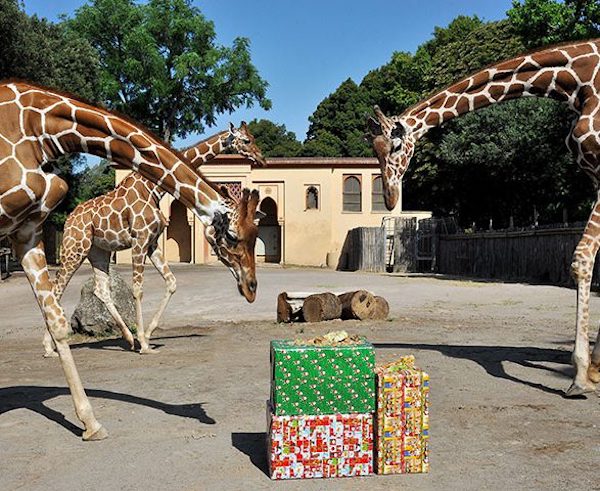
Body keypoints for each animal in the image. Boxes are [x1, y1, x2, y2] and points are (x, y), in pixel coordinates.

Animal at [43, 122, 264, 354]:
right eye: (247, 140)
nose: (260, 158)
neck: (153, 187)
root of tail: (69, 219)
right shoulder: (139, 239)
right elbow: (138, 290)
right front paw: (144, 343)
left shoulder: (151, 243)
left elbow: (172, 282)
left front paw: (146, 337)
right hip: (75, 248)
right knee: (56, 289)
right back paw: (50, 346)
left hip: (98, 251)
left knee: (101, 290)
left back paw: (128, 338)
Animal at [368, 39, 600, 400]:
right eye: (374, 150)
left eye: (394, 146)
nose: (390, 198)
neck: (577, 81)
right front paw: (593, 368)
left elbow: (582, 258)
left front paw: (580, 375)